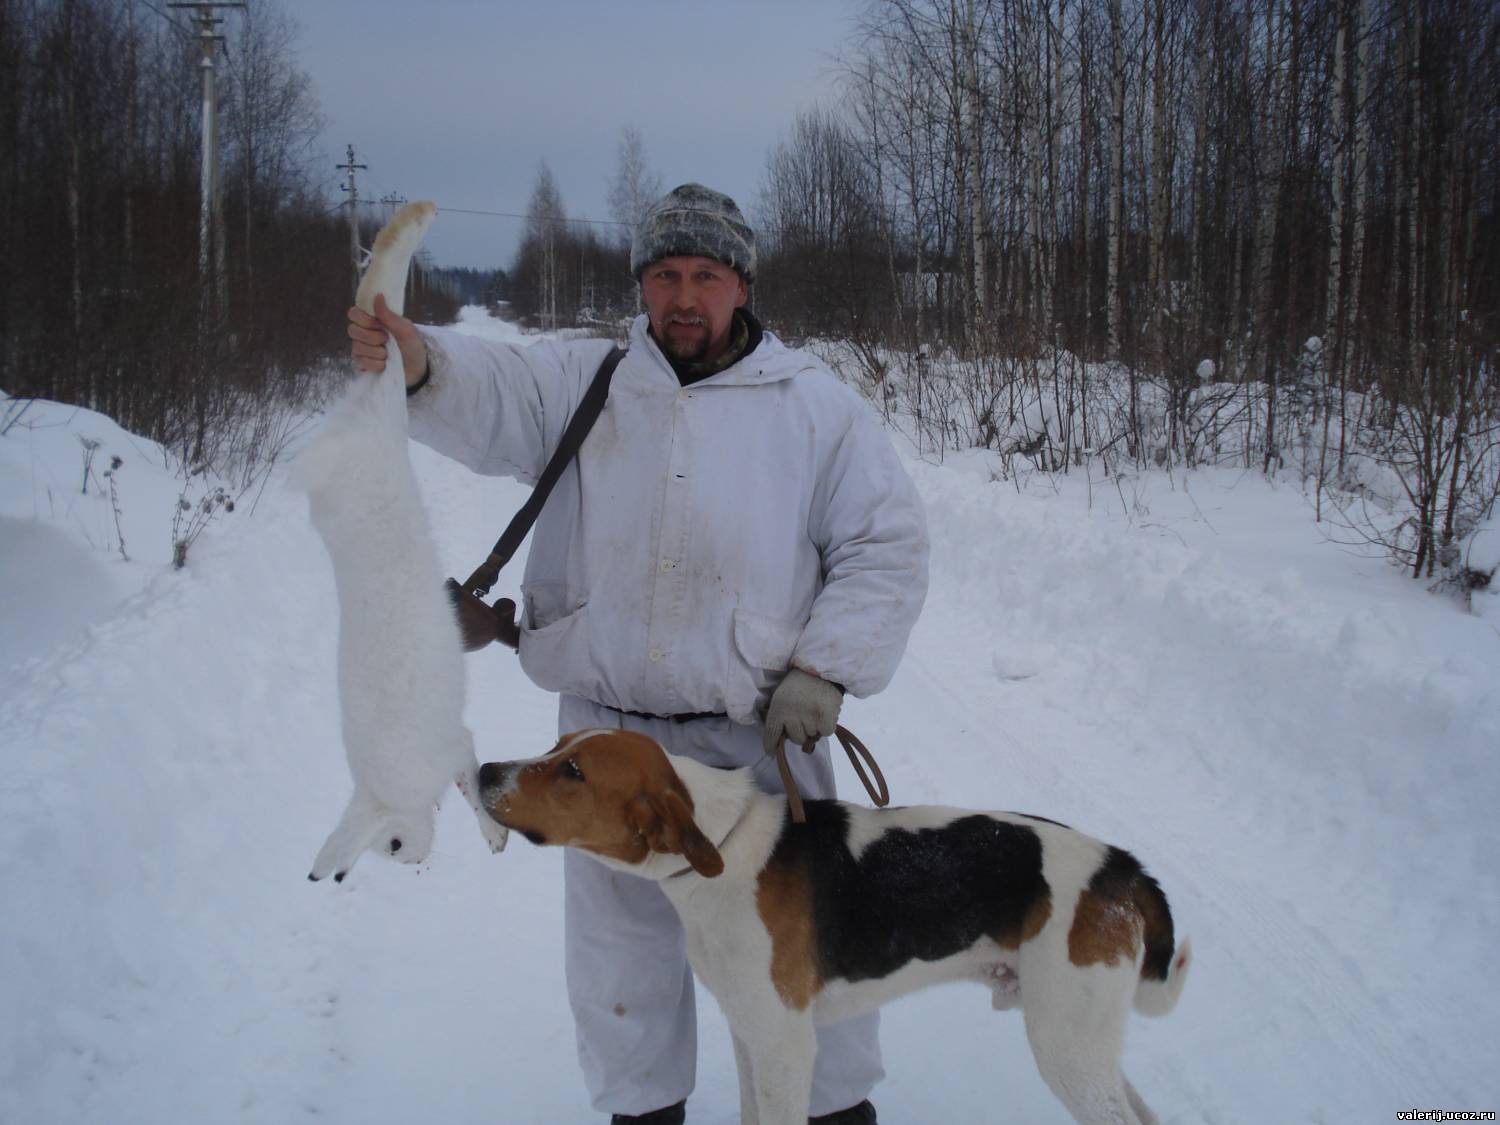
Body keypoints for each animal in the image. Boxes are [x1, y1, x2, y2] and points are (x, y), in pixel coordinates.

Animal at [480, 732, 1194, 1125]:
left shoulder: (784, 1046)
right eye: (557, 745)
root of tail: (1125, 867)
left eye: (573, 771)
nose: (485, 771)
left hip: (1064, 1044)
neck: (722, 846)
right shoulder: (751, 1033)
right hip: (1084, 1039)